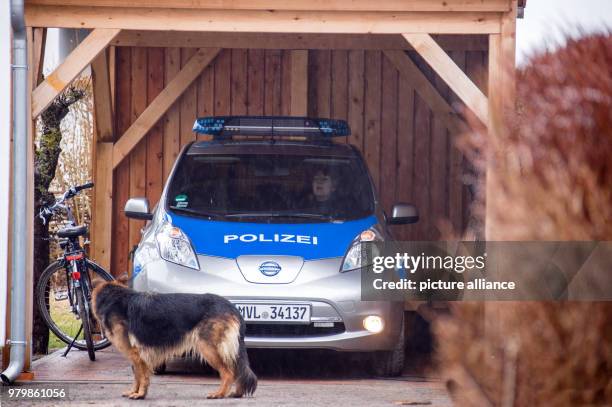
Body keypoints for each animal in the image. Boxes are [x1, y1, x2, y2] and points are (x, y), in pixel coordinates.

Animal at [90, 278, 256, 400]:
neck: (113, 297)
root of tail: (231, 307)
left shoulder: (136, 354)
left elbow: (141, 376)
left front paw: (139, 394)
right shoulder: (137, 356)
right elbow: (138, 376)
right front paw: (135, 392)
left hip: (208, 348)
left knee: (228, 373)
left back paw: (219, 394)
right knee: (236, 369)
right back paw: (237, 393)